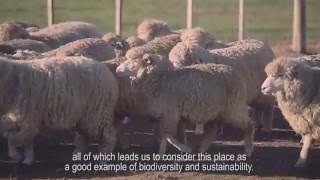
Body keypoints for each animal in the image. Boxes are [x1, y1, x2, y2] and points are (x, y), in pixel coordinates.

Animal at [116, 53, 254, 156]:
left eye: (135, 60)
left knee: (249, 125)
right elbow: (167, 135)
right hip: (217, 111)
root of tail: (235, 73)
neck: (161, 80)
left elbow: (168, 135)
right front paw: (164, 152)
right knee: (213, 130)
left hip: (233, 108)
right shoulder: (167, 116)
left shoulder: (170, 114)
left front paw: (183, 149)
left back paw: (248, 150)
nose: (117, 70)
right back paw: (201, 149)